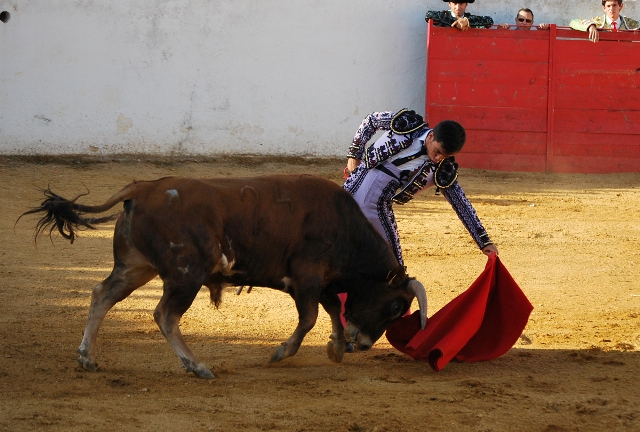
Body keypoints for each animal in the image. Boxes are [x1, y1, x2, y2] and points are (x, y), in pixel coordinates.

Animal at [20, 173, 428, 378]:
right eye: (395, 306)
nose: (365, 345)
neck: (344, 224)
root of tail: (145, 187)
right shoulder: (308, 275)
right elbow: (311, 316)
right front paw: (282, 352)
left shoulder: (319, 280)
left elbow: (330, 311)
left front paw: (336, 348)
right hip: (185, 274)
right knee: (164, 314)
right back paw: (197, 366)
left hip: (136, 267)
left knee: (101, 295)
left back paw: (87, 358)